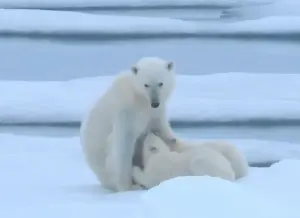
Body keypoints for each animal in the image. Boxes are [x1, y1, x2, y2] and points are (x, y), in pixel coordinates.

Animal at [80, 57, 178, 192]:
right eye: (146, 84)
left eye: (160, 83)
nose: (155, 102)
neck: (141, 99)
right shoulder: (126, 111)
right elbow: (123, 145)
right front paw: (127, 186)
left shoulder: (155, 111)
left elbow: (159, 124)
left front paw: (172, 138)